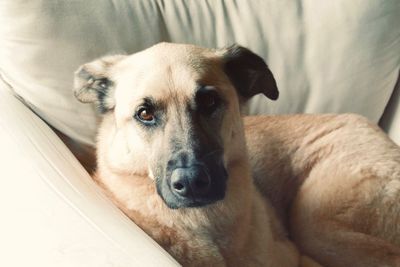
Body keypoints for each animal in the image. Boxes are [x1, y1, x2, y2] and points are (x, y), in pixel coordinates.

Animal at [72, 43, 400, 266]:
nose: (192, 182)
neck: (206, 224)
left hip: (315, 226)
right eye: (144, 113)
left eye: (210, 102)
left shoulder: (294, 256)